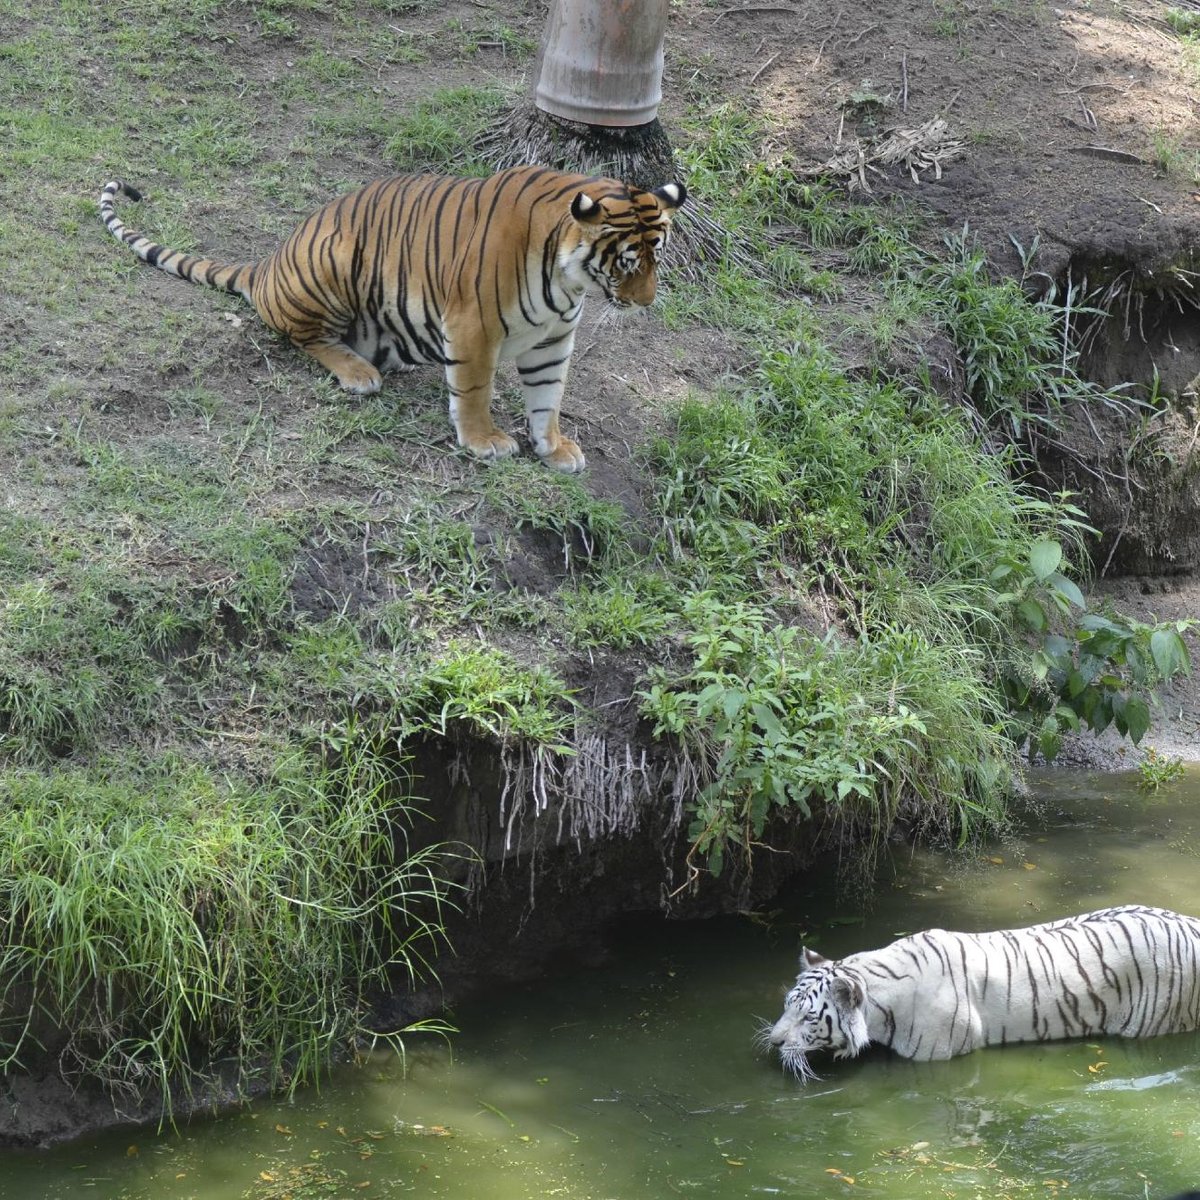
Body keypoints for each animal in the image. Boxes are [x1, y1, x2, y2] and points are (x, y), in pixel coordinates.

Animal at [100, 165, 686, 472]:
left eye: (658, 255)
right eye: (627, 261)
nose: (646, 302)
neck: (569, 281)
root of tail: (268, 263)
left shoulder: (553, 340)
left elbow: (549, 397)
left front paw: (554, 448)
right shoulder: (473, 325)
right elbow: (474, 389)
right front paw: (484, 441)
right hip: (334, 264)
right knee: (299, 334)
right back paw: (358, 373)